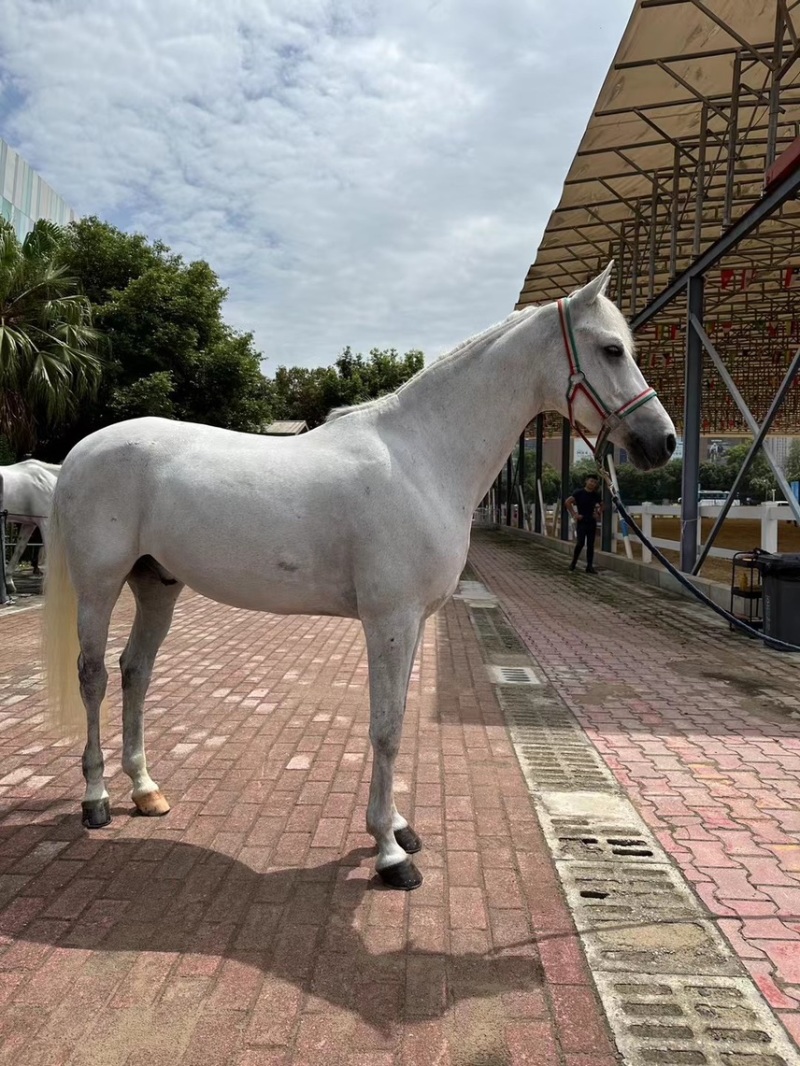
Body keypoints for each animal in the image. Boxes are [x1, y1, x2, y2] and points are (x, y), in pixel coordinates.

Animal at [43, 263, 676, 890]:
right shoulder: (389, 619)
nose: (663, 441)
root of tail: (78, 454)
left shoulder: (413, 622)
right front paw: (390, 854)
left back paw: (145, 791)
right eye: (612, 349)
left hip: (157, 585)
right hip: (100, 585)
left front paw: (397, 827)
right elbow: (386, 729)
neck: (421, 459)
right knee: (95, 676)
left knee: (135, 672)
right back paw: (96, 799)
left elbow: (396, 719)